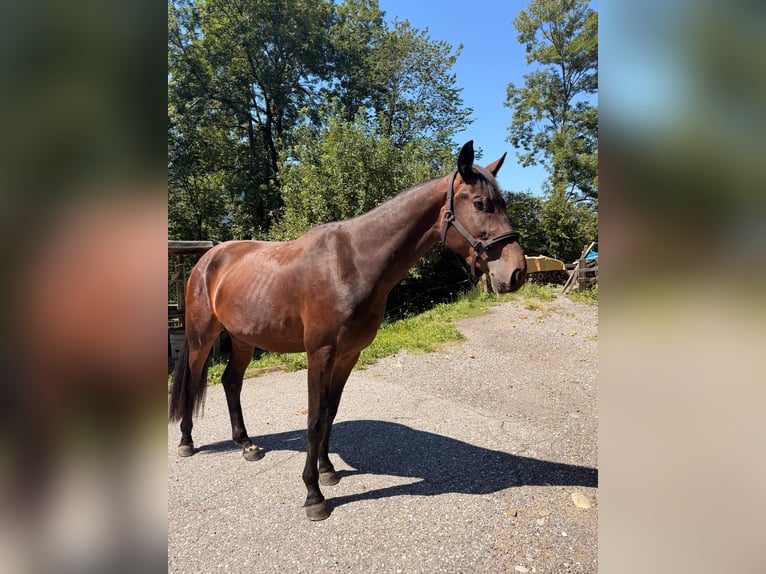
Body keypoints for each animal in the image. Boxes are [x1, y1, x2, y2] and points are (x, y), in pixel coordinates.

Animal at [169, 141, 527, 520]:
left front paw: (327, 471)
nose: (517, 272)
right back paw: (186, 442)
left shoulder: (348, 355)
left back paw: (247, 444)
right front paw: (313, 495)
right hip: (201, 337)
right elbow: (314, 419)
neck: (352, 263)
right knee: (193, 382)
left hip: (241, 339)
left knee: (231, 382)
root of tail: (206, 260)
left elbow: (330, 412)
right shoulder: (320, 354)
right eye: (480, 203)